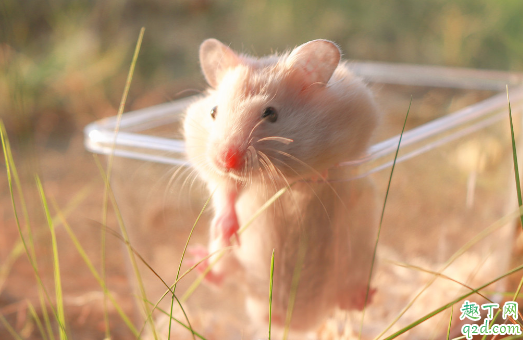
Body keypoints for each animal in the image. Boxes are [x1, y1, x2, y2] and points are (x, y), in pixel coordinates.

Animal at [183, 38, 380, 334]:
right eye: (213, 112)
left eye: (270, 113)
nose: (225, 159)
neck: (272, 174)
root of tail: (289, 319)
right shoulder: (212, 169)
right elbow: (225, 193)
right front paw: (227, 228)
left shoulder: (359, 124)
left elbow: (339, 163)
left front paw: (319, 175)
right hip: (229, 260)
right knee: (221, 275)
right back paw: (198, 260)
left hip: (359, 255)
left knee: (348, 299)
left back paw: (364, 296)